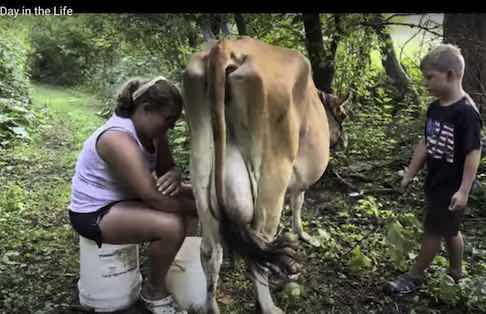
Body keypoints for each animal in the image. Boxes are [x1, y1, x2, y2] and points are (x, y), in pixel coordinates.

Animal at [181, 37, 346, 314]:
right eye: (343, 115)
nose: (343, 140)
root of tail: (225, 47)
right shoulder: (299, 179)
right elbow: (299, 204)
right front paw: (304, 236)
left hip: (200, 168)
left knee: (210, 251)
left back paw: (212, 304)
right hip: (272, 178)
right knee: (259, 252)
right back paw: (269, 305)